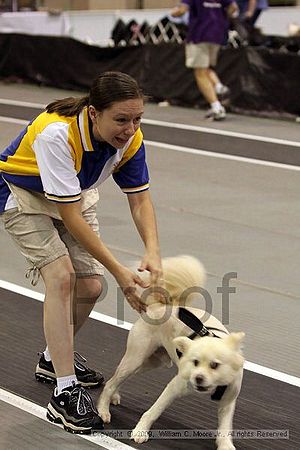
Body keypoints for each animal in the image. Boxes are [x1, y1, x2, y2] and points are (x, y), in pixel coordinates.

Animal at [98, 255, 244, 448]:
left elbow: (225, 427)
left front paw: (226, 445)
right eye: (195, 362)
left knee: (116, 379)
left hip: (152, 362)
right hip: (136, 358)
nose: (198, 378)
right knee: (111, 382)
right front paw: (140, 432)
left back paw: (114, 396)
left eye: (215, 365)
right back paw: (103, 410)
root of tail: (158, 306)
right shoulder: (175, 386)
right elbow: (154, 411)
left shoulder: (228, 401)